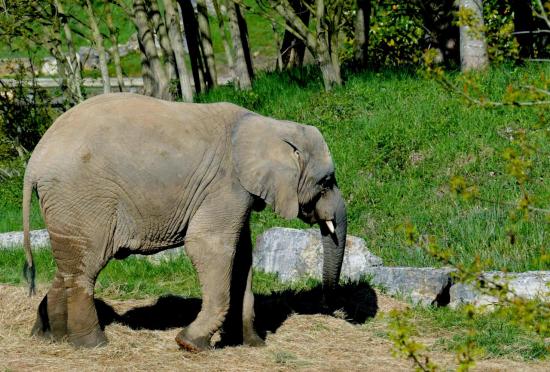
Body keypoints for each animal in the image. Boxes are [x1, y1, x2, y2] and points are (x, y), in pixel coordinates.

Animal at [22, 91, 350, 350]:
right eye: (326, 183)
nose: (328, 305)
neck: (268, 124)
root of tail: (34, 162)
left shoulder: (236, 191)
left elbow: (242, 257)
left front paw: (253, 344)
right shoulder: (225, 184)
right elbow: (210, 246)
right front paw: (190, 343)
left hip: (67, 208)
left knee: (67, 265)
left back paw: (50, 337)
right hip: (83, 198)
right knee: (86, 267)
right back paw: (93, 345)